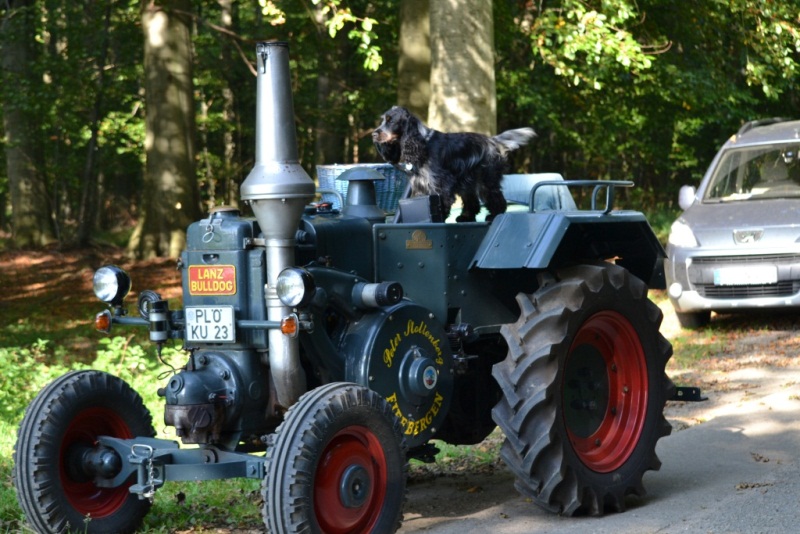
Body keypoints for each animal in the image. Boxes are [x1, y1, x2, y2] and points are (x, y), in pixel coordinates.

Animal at [372, 106, 536, 221]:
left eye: (391, 121)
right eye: (382, 121)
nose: (374, 133)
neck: (422, 143)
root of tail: (492, 140)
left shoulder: (441, 183)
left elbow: (442, 204)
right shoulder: (420, 185)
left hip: (486, 180)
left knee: (496, 198)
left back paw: (494, 215)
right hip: (467, 181)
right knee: (472, 202)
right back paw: (465, 217)